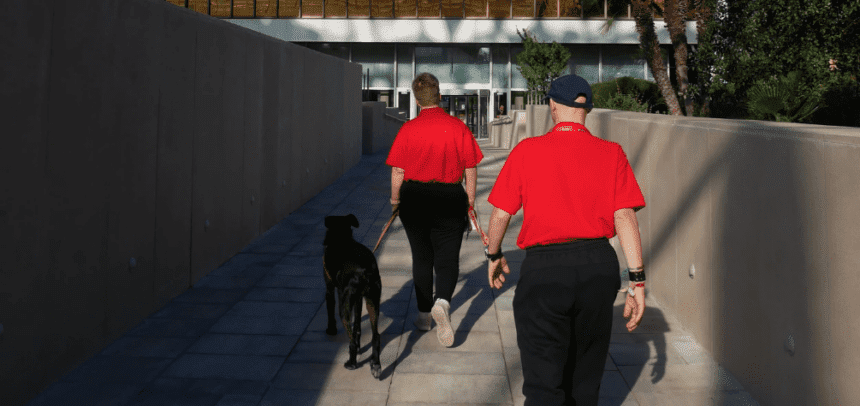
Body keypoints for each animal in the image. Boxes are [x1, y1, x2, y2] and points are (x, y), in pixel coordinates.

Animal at [320, 214, 382, 380]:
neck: (341, 238)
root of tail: (364, 269)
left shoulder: (330, 289)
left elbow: (330, 309)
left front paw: (331, 329)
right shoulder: (358, 299)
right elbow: (358, 325)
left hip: (344, 308)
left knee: (351, 341)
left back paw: (351, 363)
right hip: (373, 301)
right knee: (375, 336)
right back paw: (375, 364)